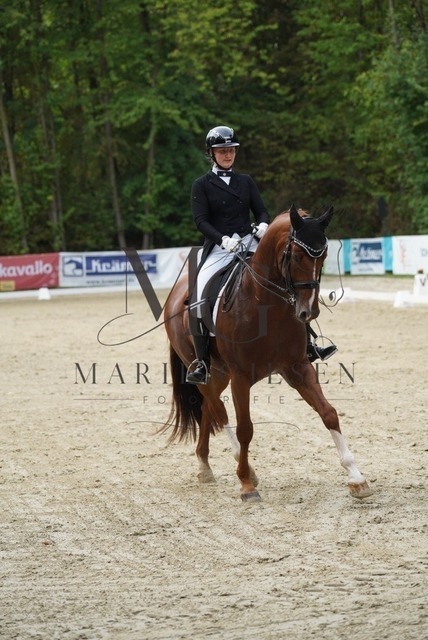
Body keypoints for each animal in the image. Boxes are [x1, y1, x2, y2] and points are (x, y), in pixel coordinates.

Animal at [161, 204, 372, 502]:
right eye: (295, 255)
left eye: (324, 255)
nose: (308, 312)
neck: (266, 305)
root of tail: (176, 293)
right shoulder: (241, 377)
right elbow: (245, 428)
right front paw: (246, 485)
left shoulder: (297, 367)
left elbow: (329, 412)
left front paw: (356, 478)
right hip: (202, 367)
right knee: (218, 409)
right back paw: (241, 468)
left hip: (220, 372)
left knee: (207, 408)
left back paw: (204, 466)